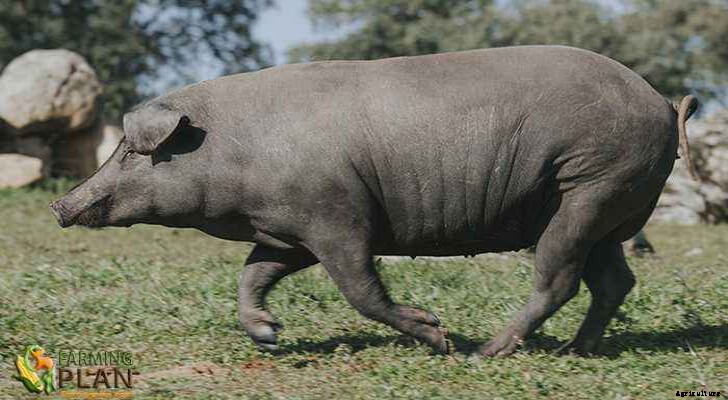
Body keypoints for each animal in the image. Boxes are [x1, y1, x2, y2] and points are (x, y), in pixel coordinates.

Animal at [50, 45, 699, 356]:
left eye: (131, 153)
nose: (61, 205)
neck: (236, 149)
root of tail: (664, 105)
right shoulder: (287, 232)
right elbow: (253, 274)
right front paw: (268, 336)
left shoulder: (337, 217)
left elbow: (361, 289)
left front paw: (437, 336)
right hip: (605, 206)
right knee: (613, 280)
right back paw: (575, 351)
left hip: (589, 187)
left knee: (558, 277)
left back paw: (486, 353)